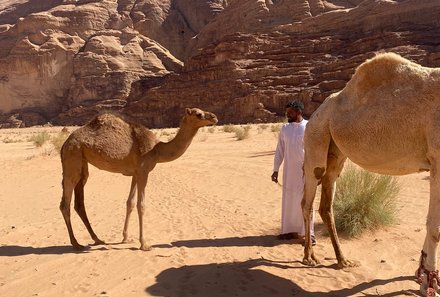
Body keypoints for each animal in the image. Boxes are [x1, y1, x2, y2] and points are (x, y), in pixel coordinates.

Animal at [59, 106, 217, 250]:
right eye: (198, 114)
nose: (214, 117)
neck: (157, 150)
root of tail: (64, 144)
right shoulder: (143, 171)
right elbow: (141, 205)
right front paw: (144, 244)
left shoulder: (136, 173)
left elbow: (130, 203)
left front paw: (126, 238)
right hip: (72, 156)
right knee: (65, 203)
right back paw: (76, 244)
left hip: (82, 163)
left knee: (79, 202)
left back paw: (97, 239)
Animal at [300, 52, 440, 294]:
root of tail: (316, 113)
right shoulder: (437, 156)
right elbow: (435, 227)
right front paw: (428, 285)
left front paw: (421, 275)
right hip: (315, 138)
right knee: (307, 200)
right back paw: (310, 256)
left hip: (335, 149)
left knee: (325, 203)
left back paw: (343, 260)